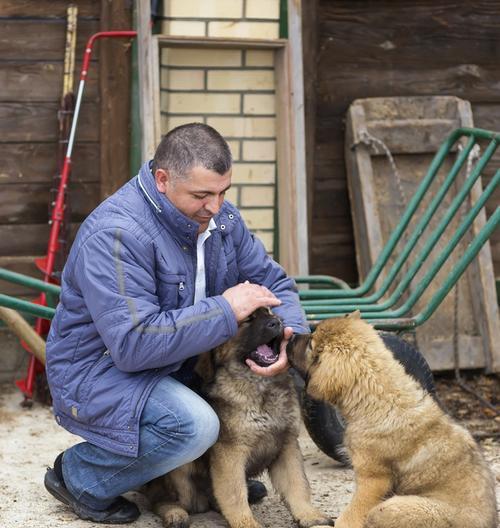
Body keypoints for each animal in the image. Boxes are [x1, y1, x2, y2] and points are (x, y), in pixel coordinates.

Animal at [288, 314, 498, 528]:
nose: (289, 336)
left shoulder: (373, 478)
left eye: (311, 344)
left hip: (392, 507)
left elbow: (351, 514)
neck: (377, 398)